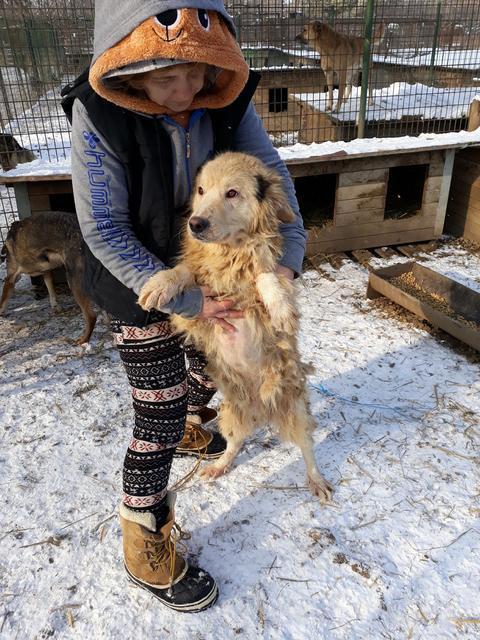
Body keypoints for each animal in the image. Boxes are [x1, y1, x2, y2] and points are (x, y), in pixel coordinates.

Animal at [0, 211, 97, 344]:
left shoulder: (11, 278)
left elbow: (3, 299)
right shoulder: (46, 271)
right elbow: (51, 290)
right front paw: (55, 306)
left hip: (73, 281)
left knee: (91, 316)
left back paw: (83, 339)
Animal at [138, 152, 334, 502]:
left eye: (232, 193)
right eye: (201, 190)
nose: (195, 224)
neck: (229, 253)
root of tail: (263, 409)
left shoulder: (259, 271)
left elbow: (266, 275)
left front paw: (280, 306)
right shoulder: (198, 301)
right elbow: (184, 270)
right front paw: (159, 284)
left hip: (295, 408)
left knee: (308, 449)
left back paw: (316, 479)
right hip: (233, 411)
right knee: (235, 443)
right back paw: (219, 466)